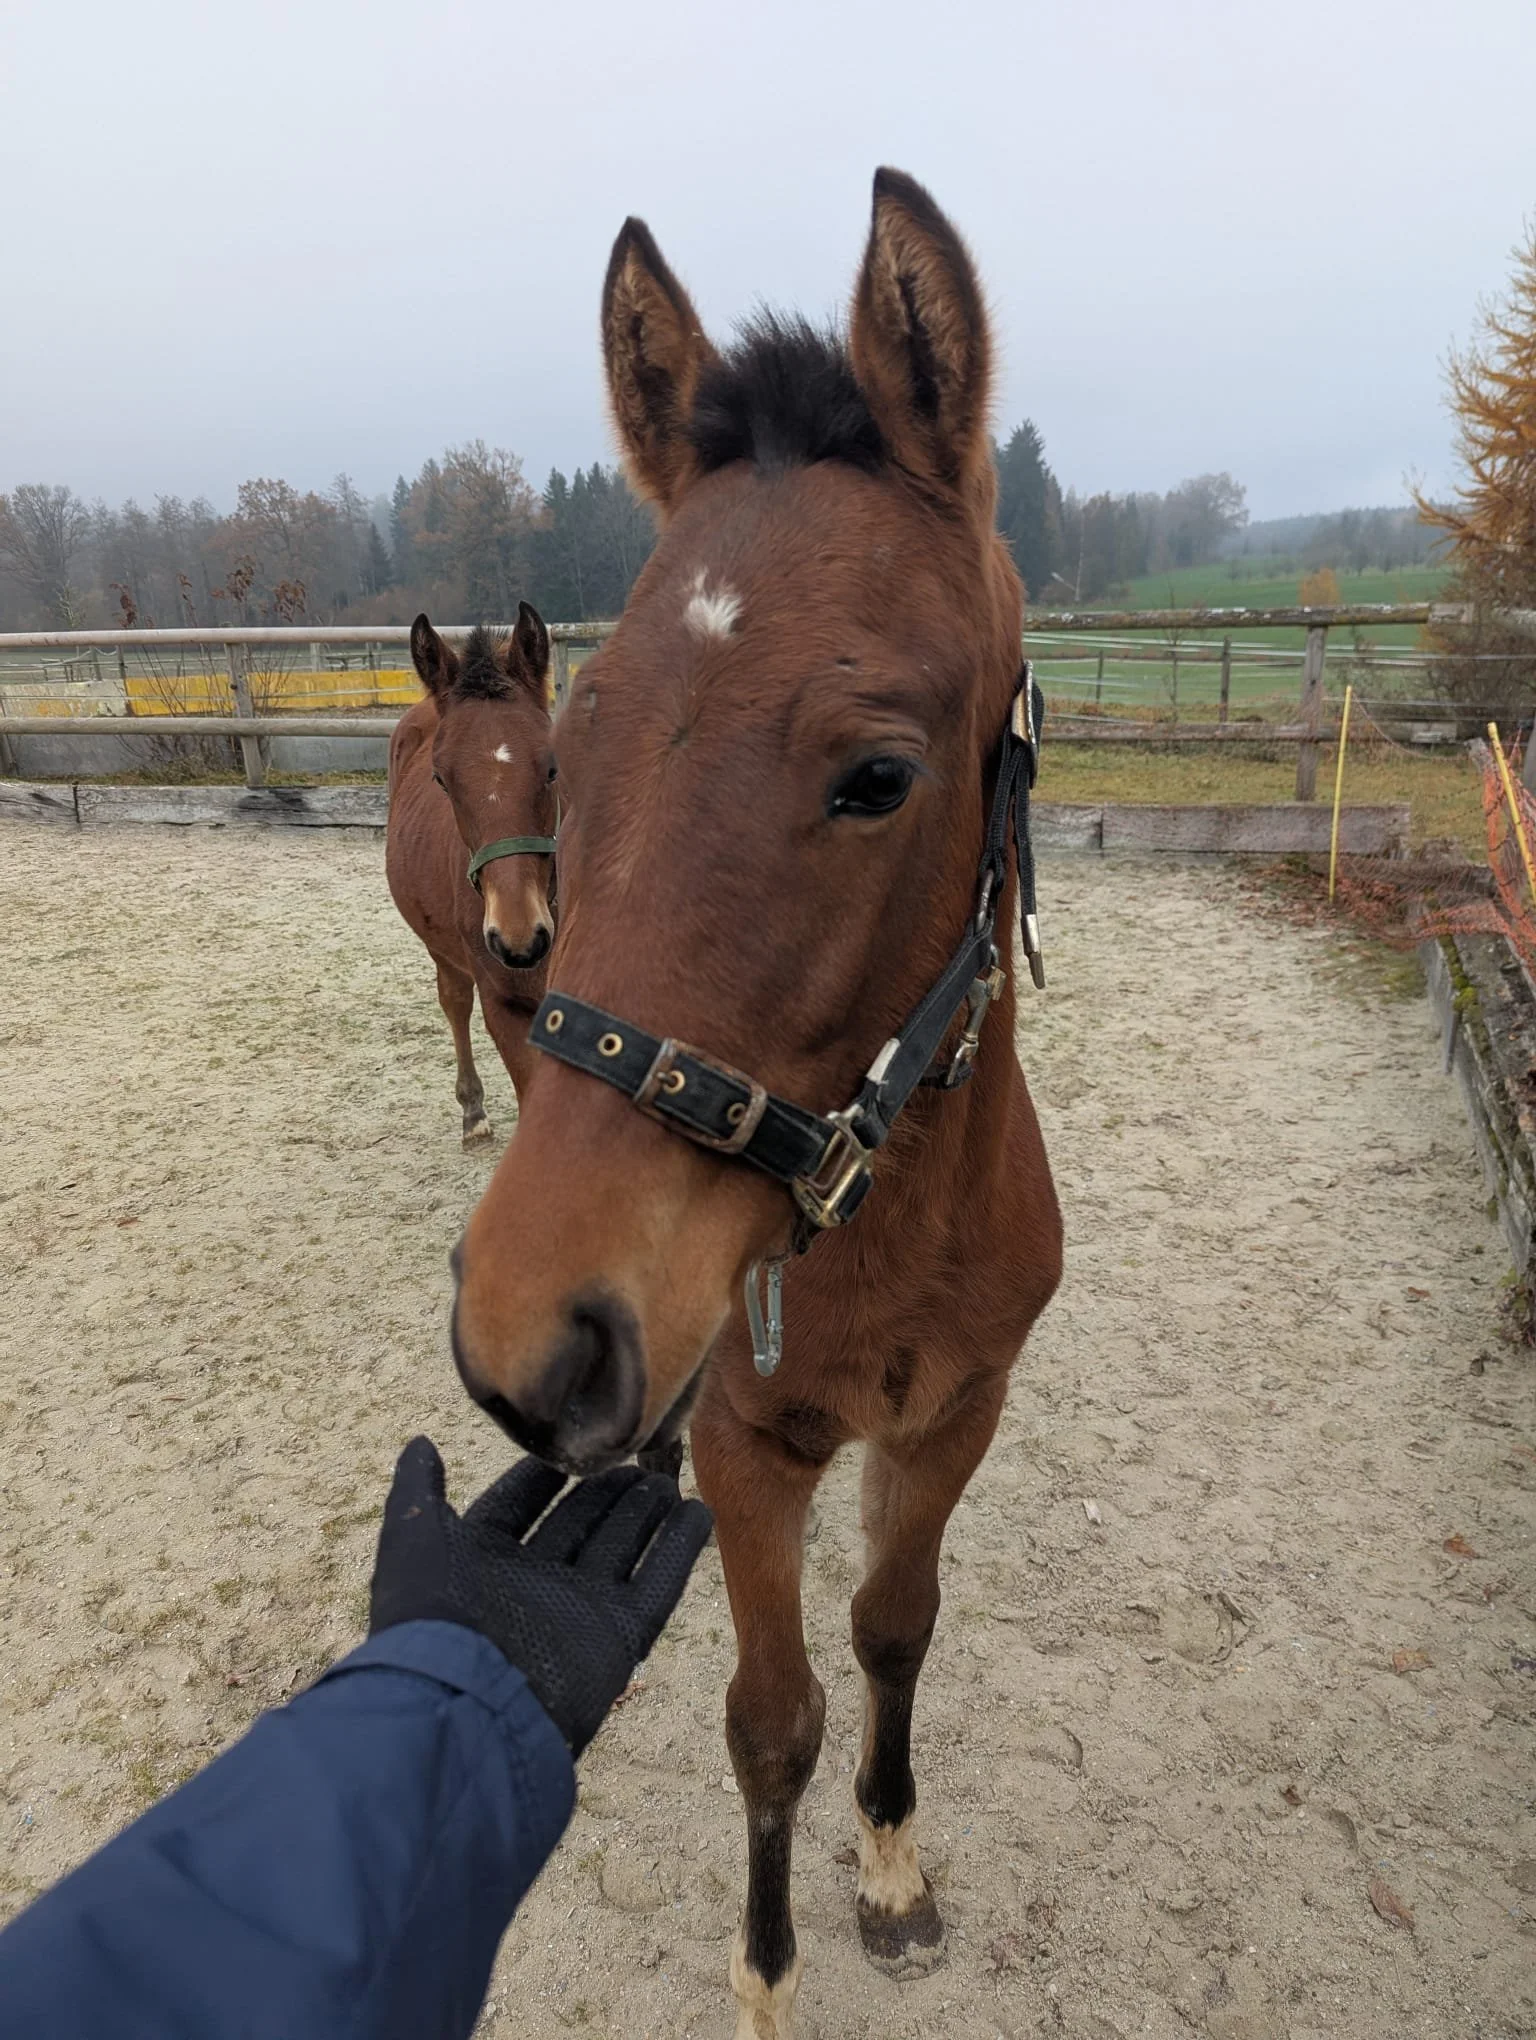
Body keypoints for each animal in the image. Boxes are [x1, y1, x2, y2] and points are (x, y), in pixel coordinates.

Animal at [385, 608, 558, 1145]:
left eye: (552, 768)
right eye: (441, 779)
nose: (519, 940)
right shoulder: (505, 1007)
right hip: (443, 949)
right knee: (454, 1001)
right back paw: (473, 1110)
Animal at [450, 170, 1063, 2037]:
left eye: (877, 777)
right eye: (564, 757)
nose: (526, 1335)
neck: (884, 1236)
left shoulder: (954, 1415)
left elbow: (894, 1630)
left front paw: (893, 1869)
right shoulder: (745, 1446)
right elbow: (770, 1722)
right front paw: (768, 1973)